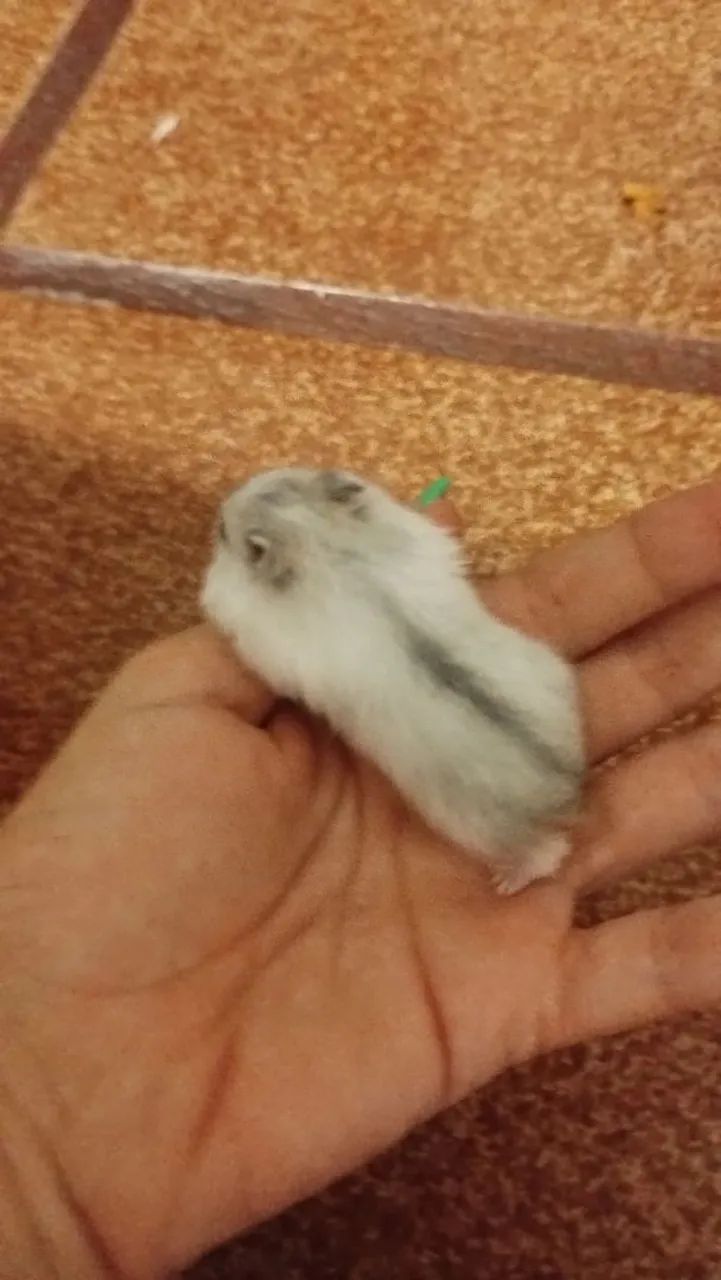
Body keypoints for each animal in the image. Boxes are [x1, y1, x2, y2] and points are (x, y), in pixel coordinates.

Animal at [200, 468, 585, 893]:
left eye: (223, 532)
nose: (221, 506)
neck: (322, 541)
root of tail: (568, 785)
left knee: (549, 855)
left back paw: (507, 882)